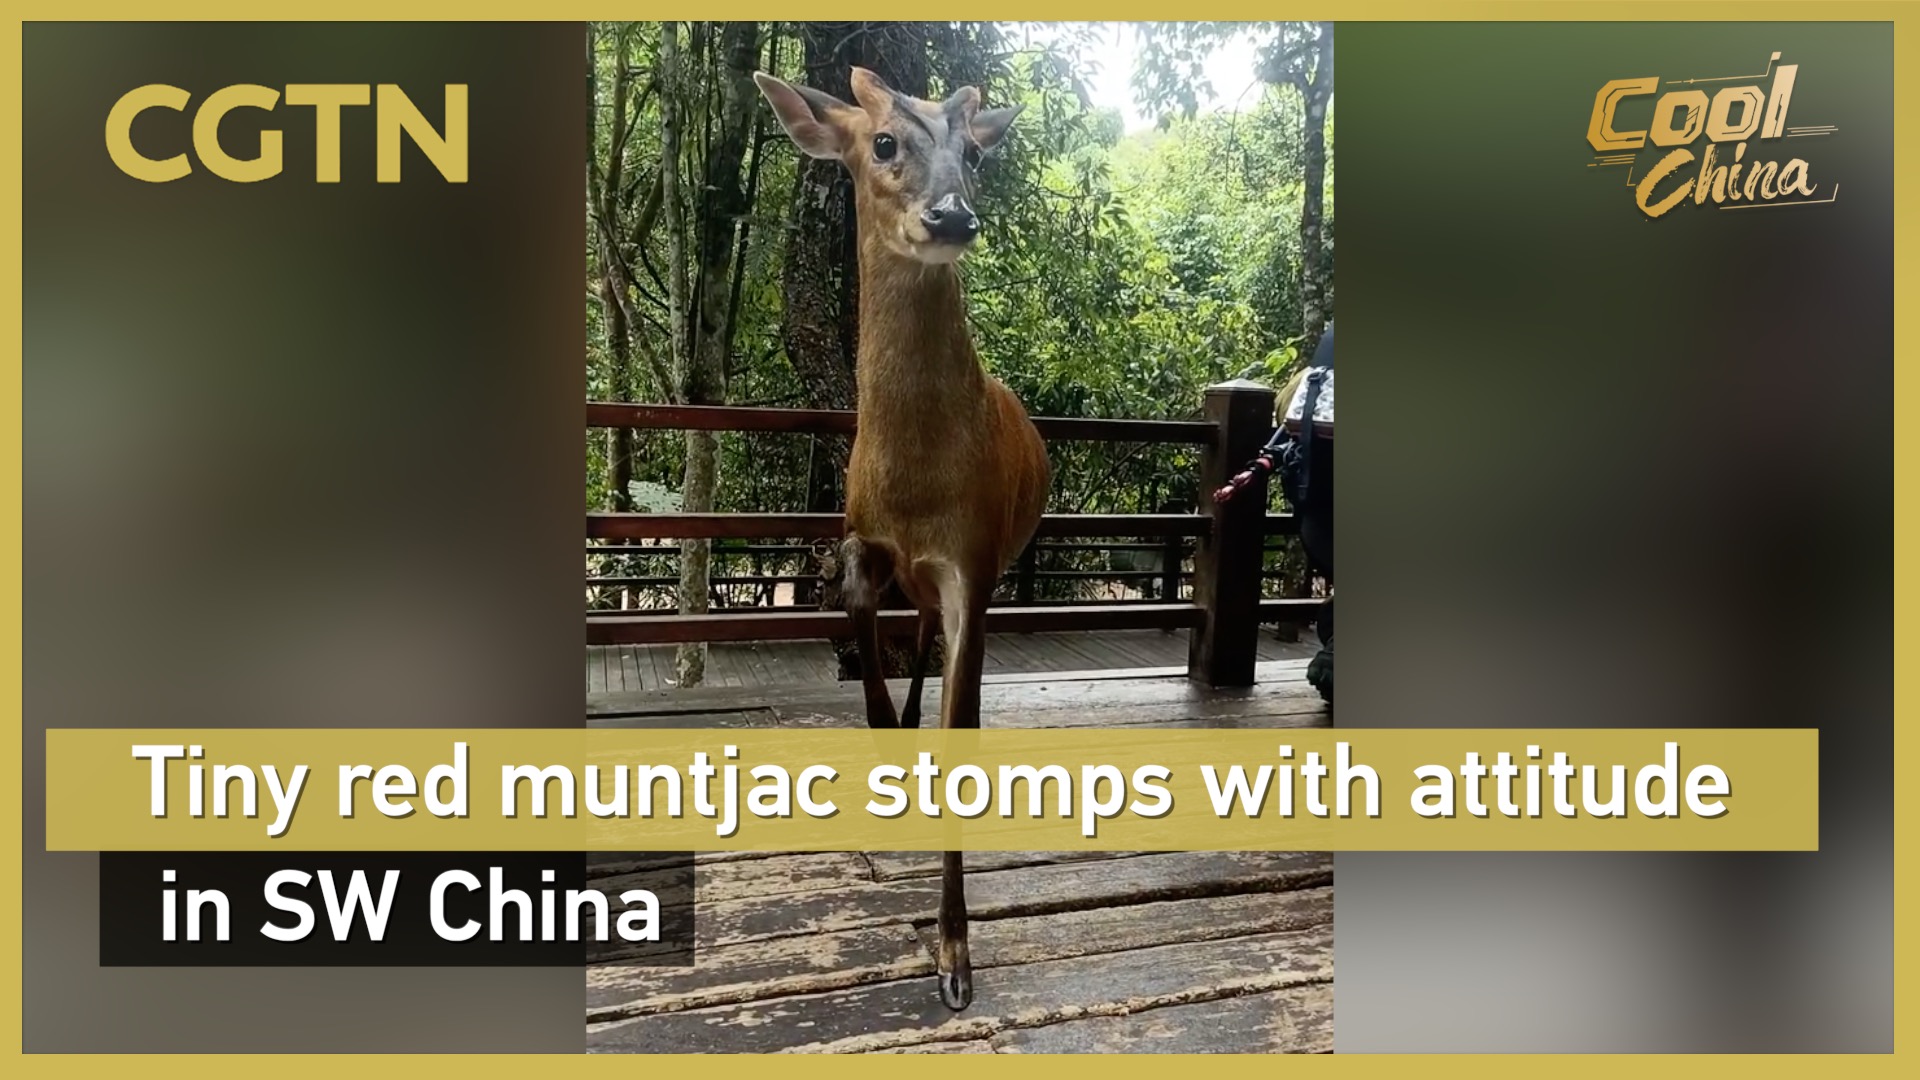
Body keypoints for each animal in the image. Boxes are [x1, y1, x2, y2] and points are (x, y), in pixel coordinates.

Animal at [756, 66, 1049, 1010]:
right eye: (883, 141)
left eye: (976, 155)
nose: (952, 217)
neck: (918, 486)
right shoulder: (866, 530)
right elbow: (849, 589)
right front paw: (885, 730)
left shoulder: (972, 559)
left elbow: (960, 712)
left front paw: (955, 958)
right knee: (914, 630)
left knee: (947, 662)